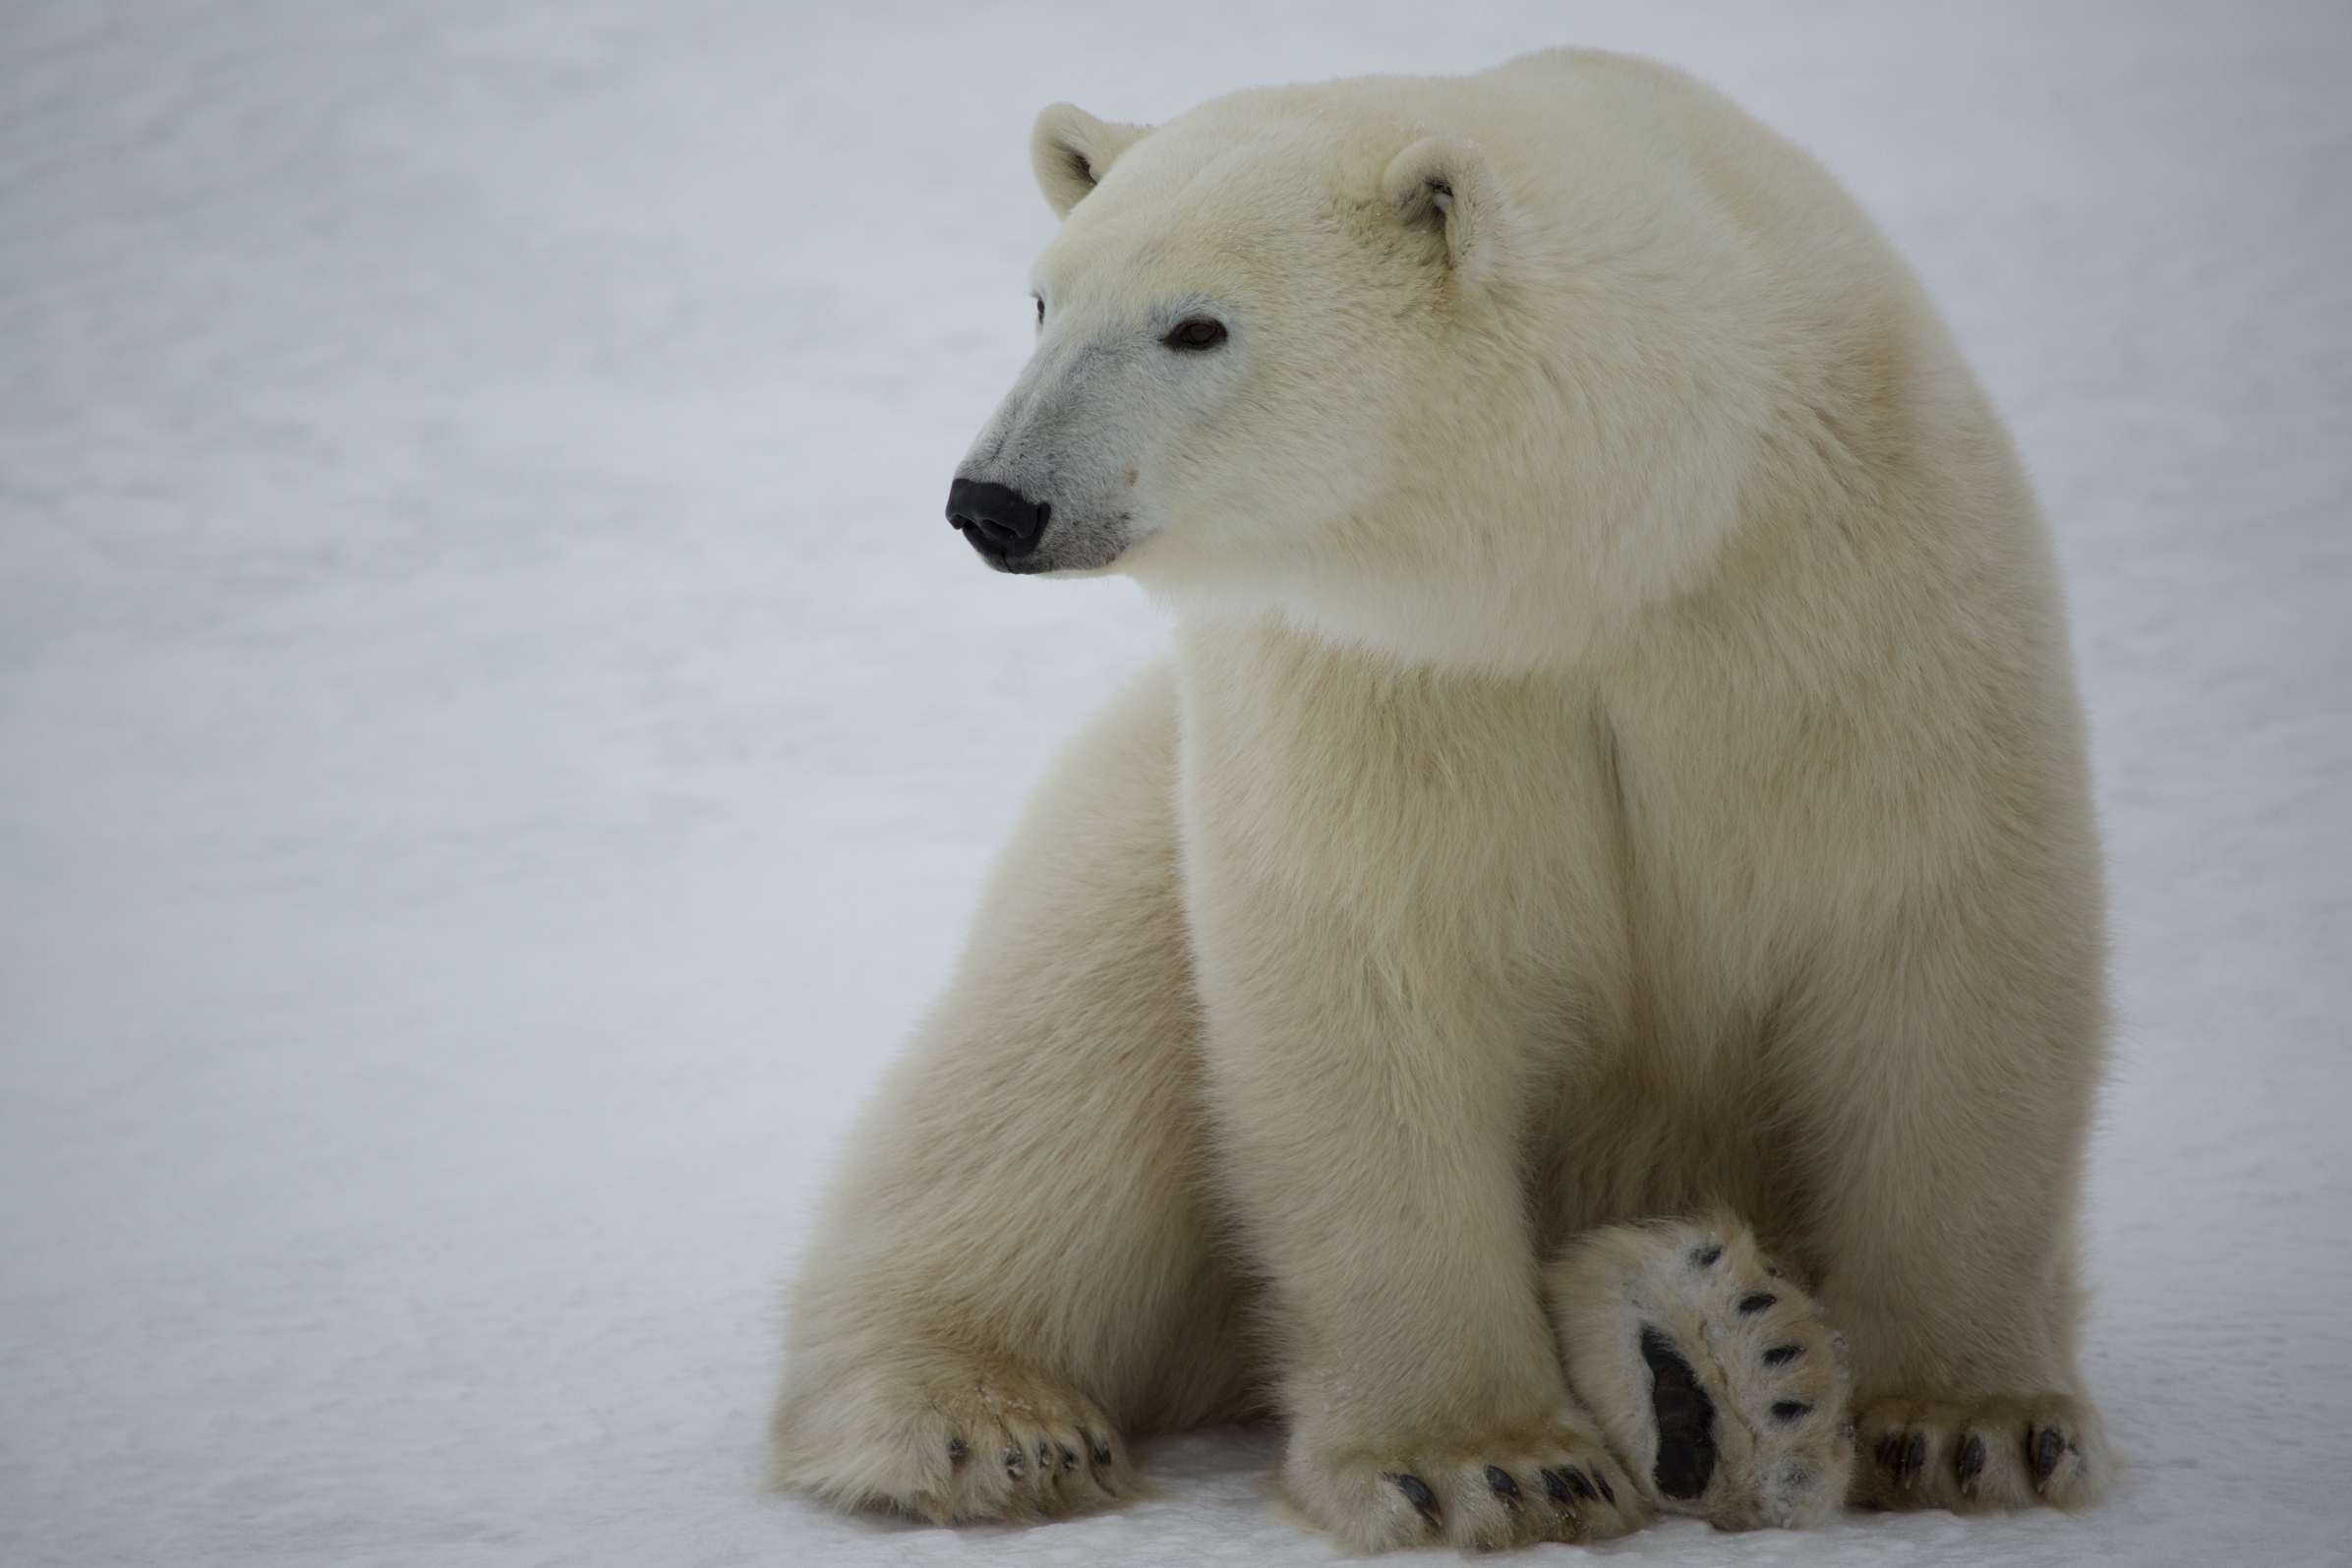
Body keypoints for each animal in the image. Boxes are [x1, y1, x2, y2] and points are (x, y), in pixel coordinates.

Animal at [772, 47, 2112, 1553]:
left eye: (1197, 325)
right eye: (1045, 299)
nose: (993, 502)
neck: (1630, 544)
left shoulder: (1872, 604)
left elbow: (1941, 950)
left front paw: (1968, 1423)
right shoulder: (1385, 681)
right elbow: (1378, 990)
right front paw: (1486, 1462)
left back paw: (1719, 1361)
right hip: (1132, 810)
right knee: (1059, 1064)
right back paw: (988, 1420)